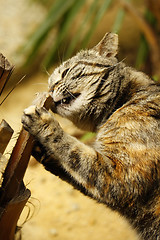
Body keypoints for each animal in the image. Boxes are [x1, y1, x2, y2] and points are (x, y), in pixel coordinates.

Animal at [21, 32, 160, 240]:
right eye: (50, 82)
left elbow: (73, 150)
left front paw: (42, 122)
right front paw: (40, 149)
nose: (50, 88)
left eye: (65, 72)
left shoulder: (120, 177)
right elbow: (75, 168)